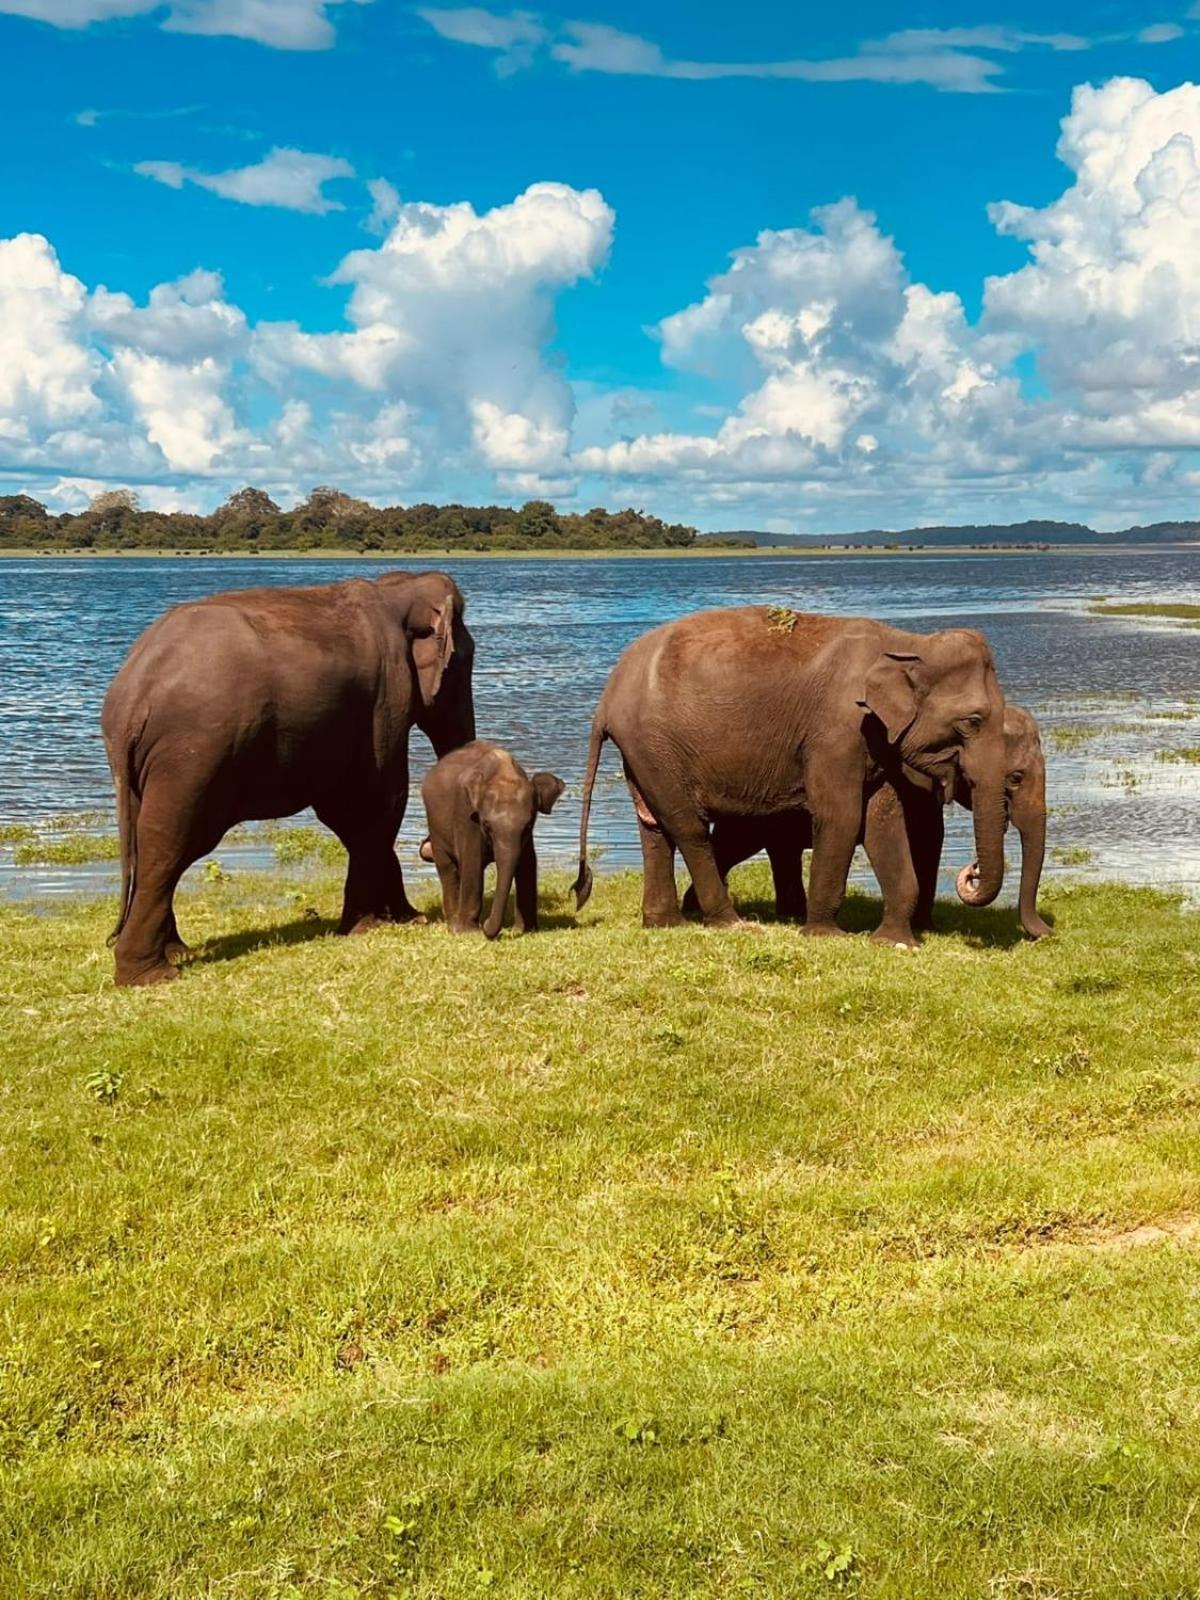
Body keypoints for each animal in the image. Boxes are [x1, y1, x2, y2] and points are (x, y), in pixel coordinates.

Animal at [419, 739, 566, 934]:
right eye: (487, 826)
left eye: (528, 826)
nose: (486, 923)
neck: (503, 772)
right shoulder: (465, 815)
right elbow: (472, 860)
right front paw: (469, 933)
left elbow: (527, 862)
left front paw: (524, 930)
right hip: (435, 827)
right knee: (447, 868)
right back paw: (453, 925)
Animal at [684, 700, 1049, 934]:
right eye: (1015, 778)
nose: (1045, 933)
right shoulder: (909, 777)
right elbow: (925, 836)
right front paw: (923, 927)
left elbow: (930, 837)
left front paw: (925, 926)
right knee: (731, 845)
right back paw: (694, 909)